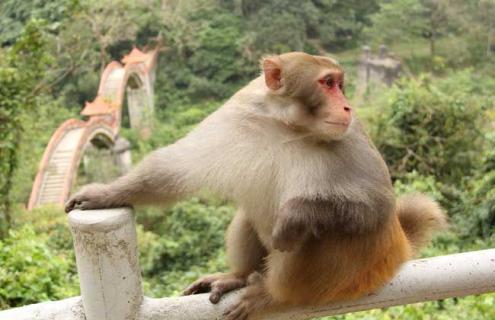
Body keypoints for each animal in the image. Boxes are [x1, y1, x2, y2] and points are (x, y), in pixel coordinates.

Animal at [64, 52, 448, 320]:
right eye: (328, 83)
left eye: (341, 84)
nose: (346, 106)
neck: (287, 124)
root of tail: (396, 249)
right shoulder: (237, 114)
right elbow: (173, 169)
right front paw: (105, 193)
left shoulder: (351, 136)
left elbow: (376, 204)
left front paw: (294, 215)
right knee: (250, 215)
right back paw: (238, 275)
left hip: (355, 272)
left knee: (320, 234)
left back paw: (274, 294)